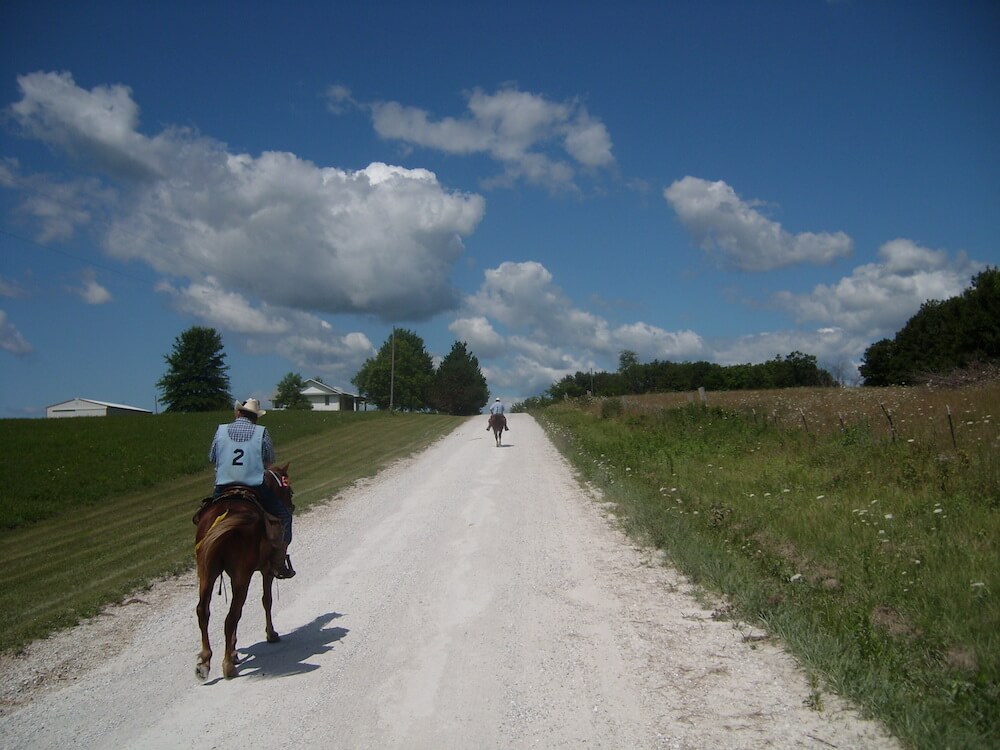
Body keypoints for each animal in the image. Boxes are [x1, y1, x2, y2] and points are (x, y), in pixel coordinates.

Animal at [194, 464, 294, 680]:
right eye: (288, 489)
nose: (292, 506)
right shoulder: (266, 570)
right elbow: (266, 600)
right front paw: (271, 634)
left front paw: (234, 651)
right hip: (242, 576)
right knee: (231, 615)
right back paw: (227, 666)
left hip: (207, 573)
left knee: (204, 611)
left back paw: (205, 662)